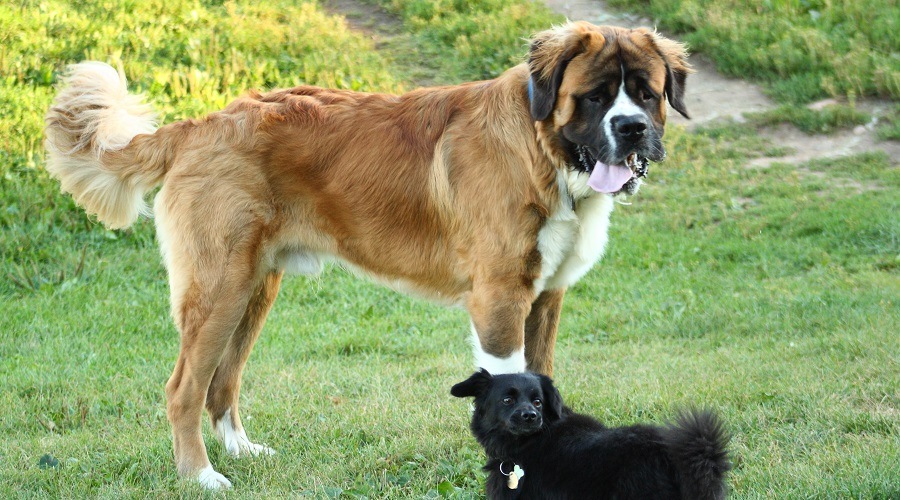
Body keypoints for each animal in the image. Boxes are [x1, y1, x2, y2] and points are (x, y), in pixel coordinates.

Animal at [44, 22, 688, 488]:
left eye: (646, 94)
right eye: (594, 98)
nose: (632, 128)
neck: (540, 146)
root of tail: (199, 126)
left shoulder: (545, 299)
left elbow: (542, 379)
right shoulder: (500, 301)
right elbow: (508, 383)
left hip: (254, 289)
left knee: (222, 383)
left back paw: (243, 450)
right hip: (220, 290)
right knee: (183, 389)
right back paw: (201, 475)